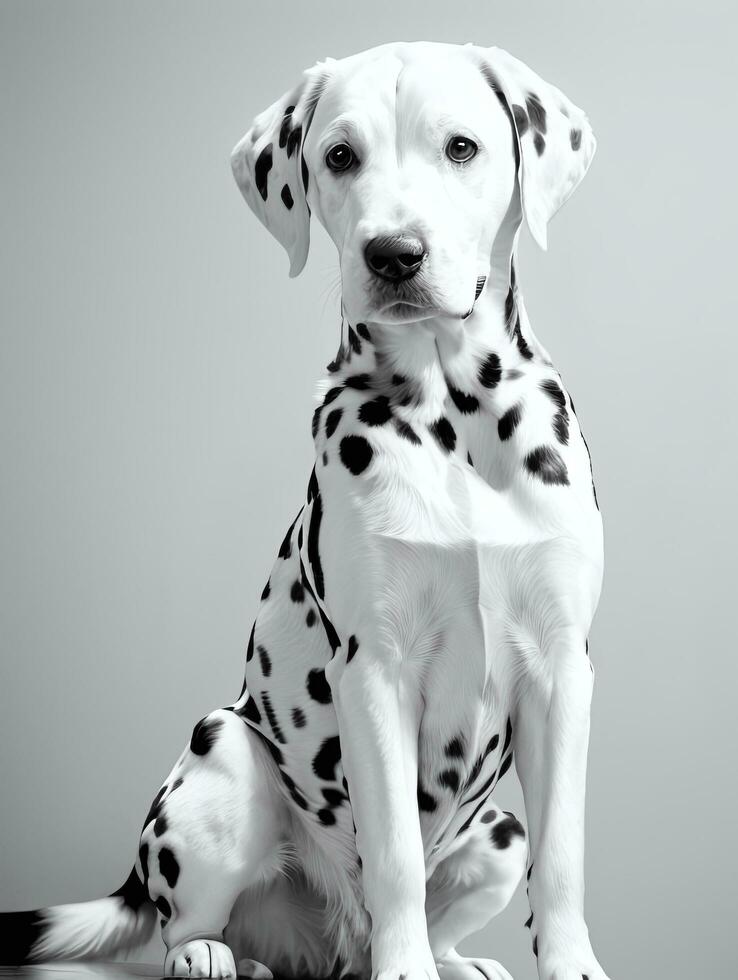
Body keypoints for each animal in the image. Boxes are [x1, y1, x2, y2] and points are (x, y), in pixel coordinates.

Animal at [2, 42, 608, 980]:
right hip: (222, 754)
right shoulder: (374, 668)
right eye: (340, 156)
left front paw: (569, 963)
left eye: (461, 148)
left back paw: (454, 960)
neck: (455, 414)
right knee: (189, 919)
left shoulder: (560, 670)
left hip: (497, 831)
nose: (393, 253)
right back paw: (218, 954)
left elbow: (565, 858)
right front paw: (404, 972)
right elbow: (393, 854)